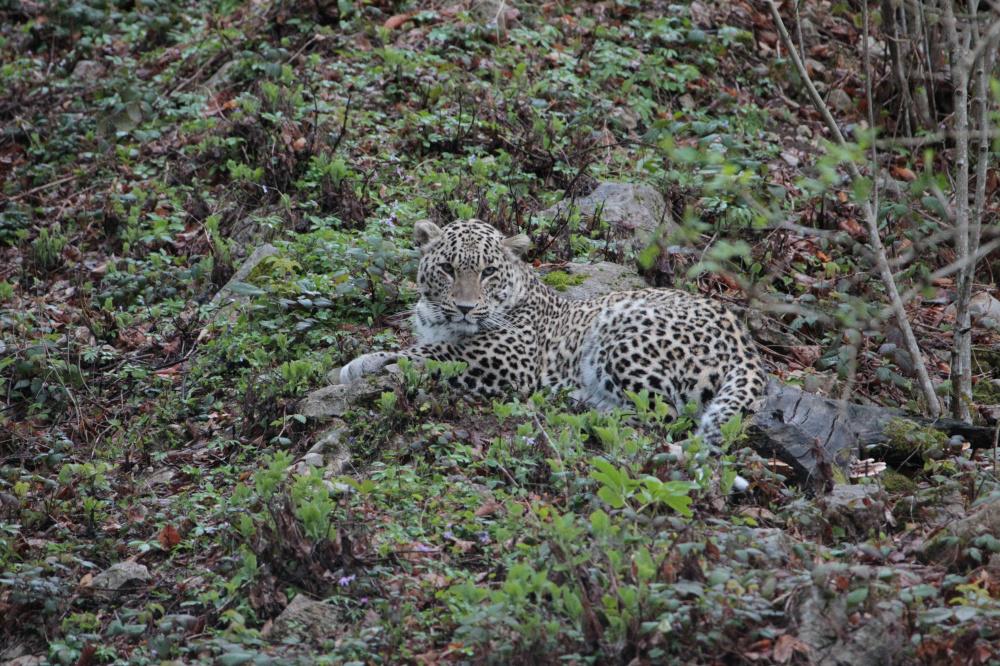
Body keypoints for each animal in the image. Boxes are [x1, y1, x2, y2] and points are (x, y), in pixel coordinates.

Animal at [336, 218, 764, 444]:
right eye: (447, 269)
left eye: (488, 272)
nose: (465, 308)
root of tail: (745, 343)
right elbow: (420, 346)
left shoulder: (506, 359)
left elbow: (429, 354)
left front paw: (360, 364)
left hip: (620, 332)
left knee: (664, 415)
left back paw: (584, 409)